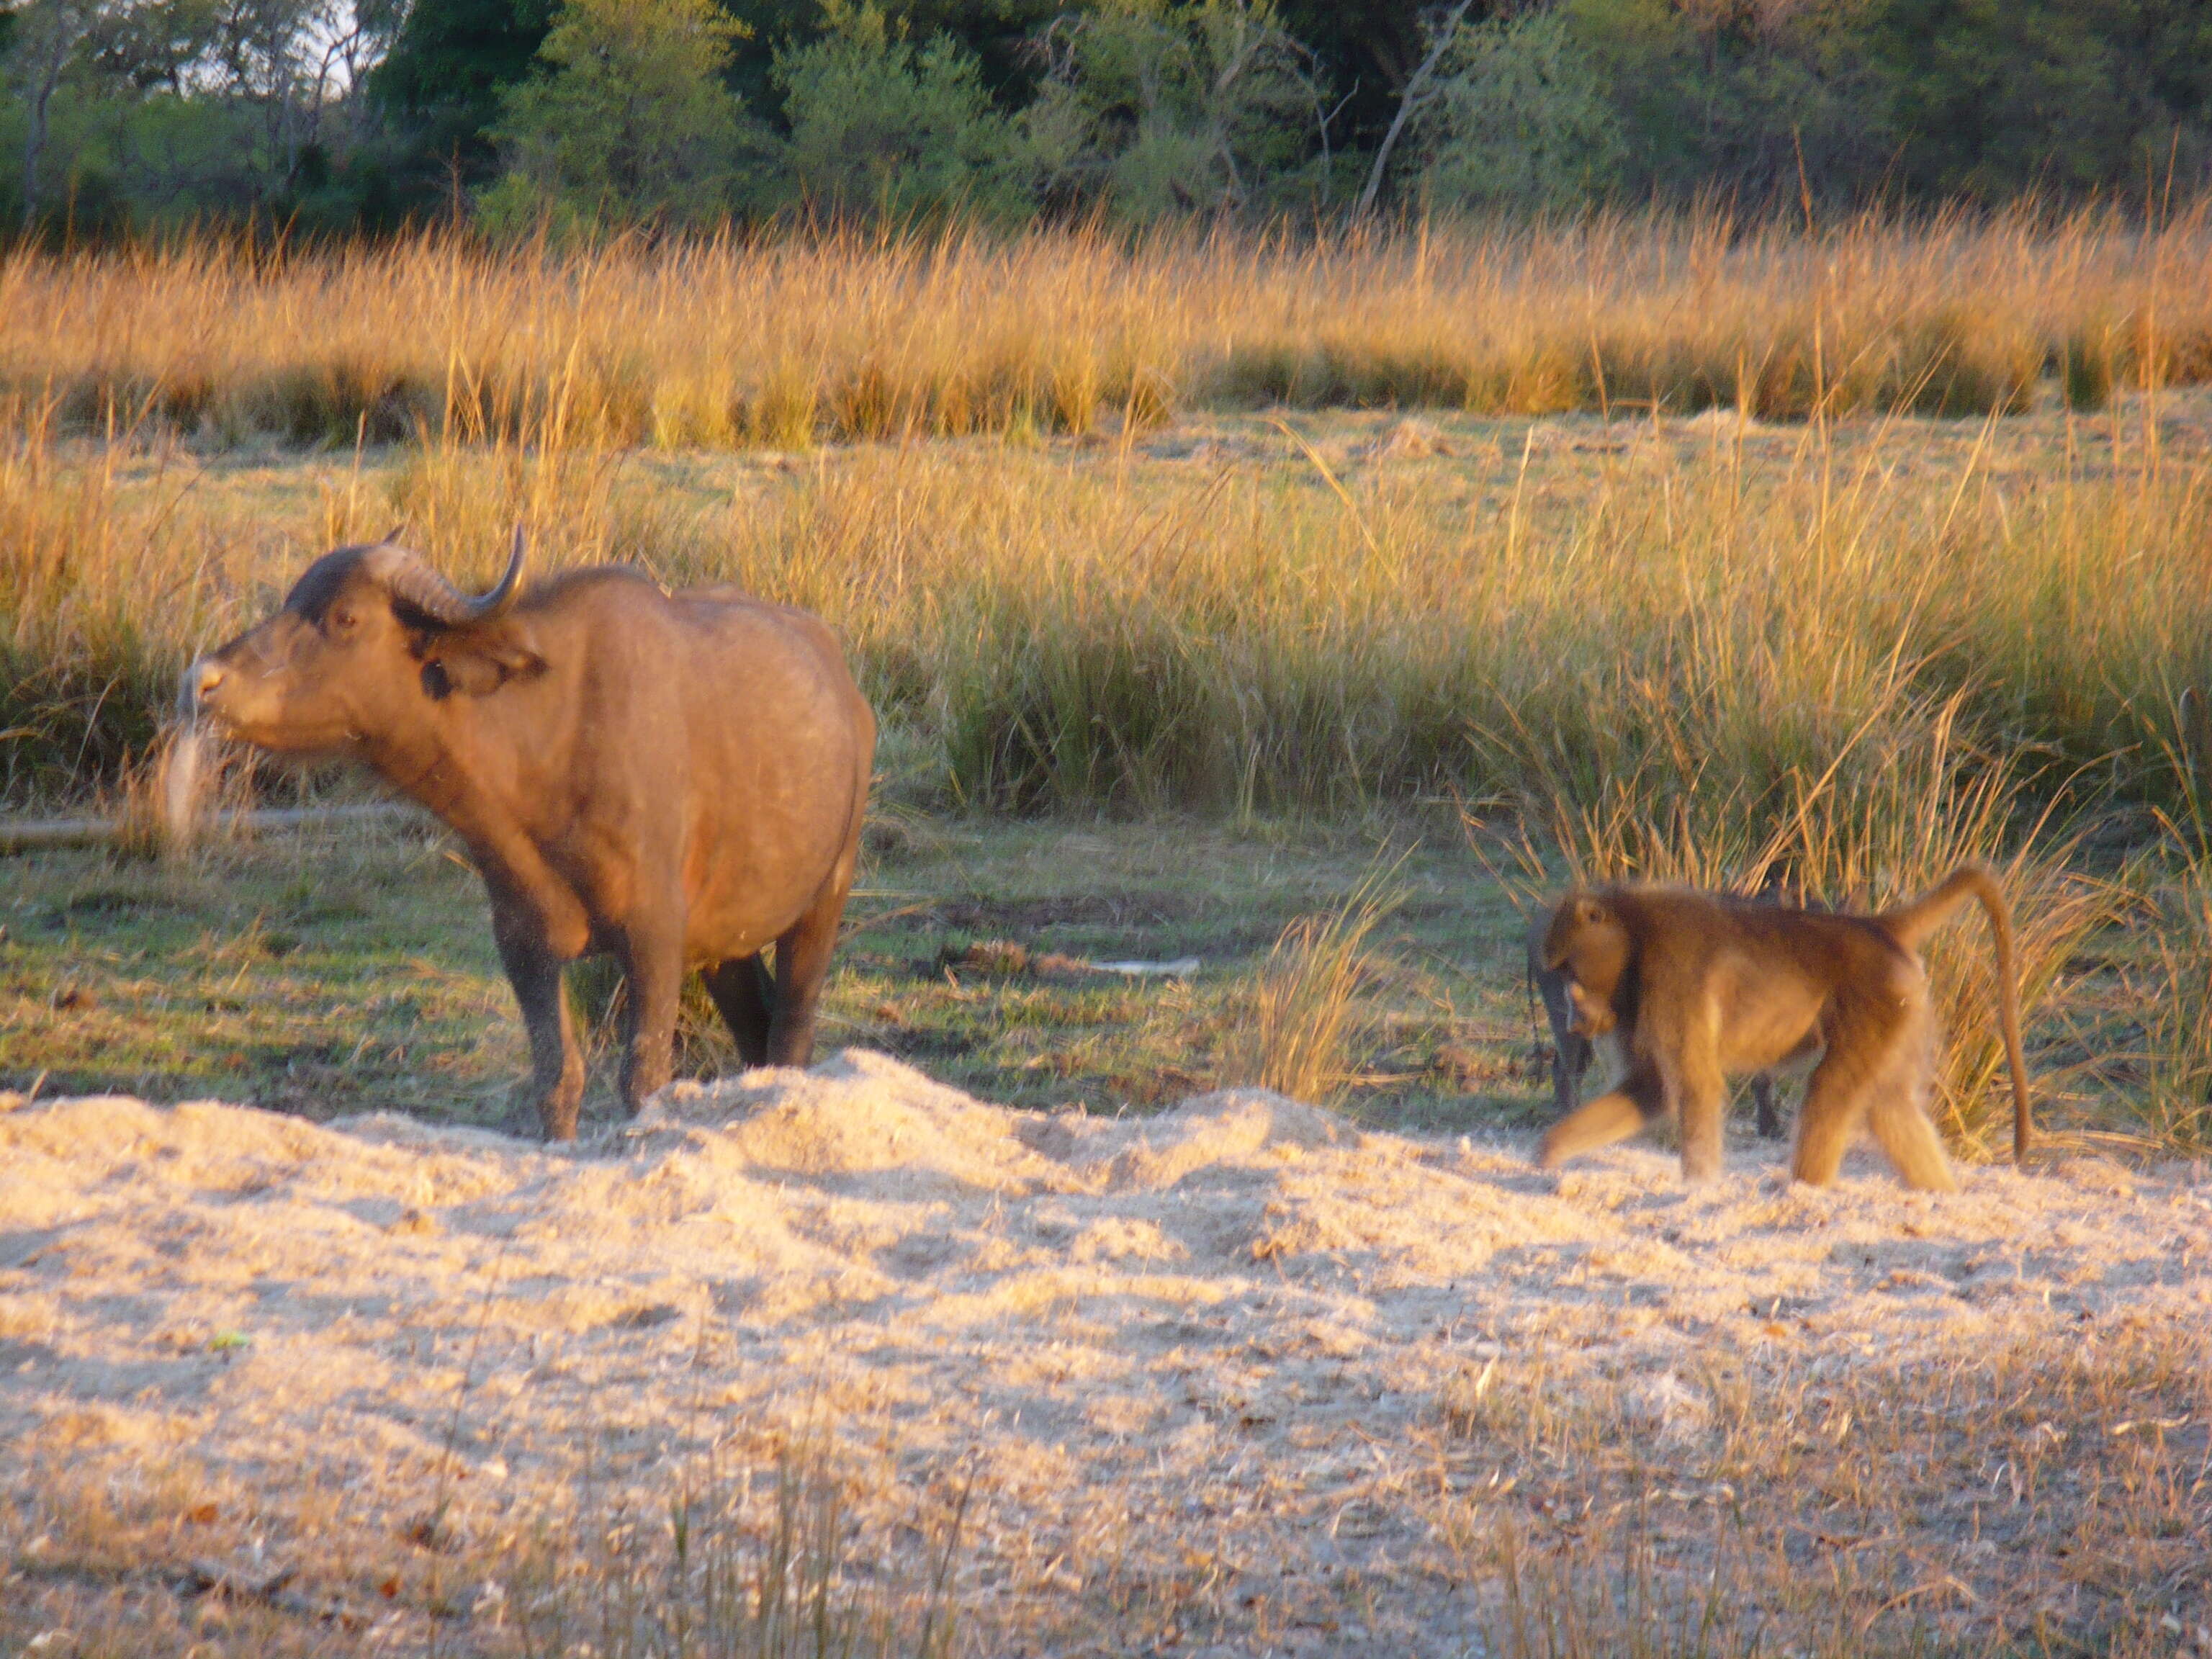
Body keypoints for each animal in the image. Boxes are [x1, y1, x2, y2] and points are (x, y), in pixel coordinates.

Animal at [183, 533, 871, 1141]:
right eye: (290, 601)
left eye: (345, 616)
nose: (202, 681)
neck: (546, 752)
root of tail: (845, 685)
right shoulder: (523, 944)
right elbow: (557, 1076)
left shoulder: (652, 937)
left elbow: (643, 1076)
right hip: (724, 945)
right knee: (755, 1032)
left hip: (823, 902)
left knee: (790, 1033)